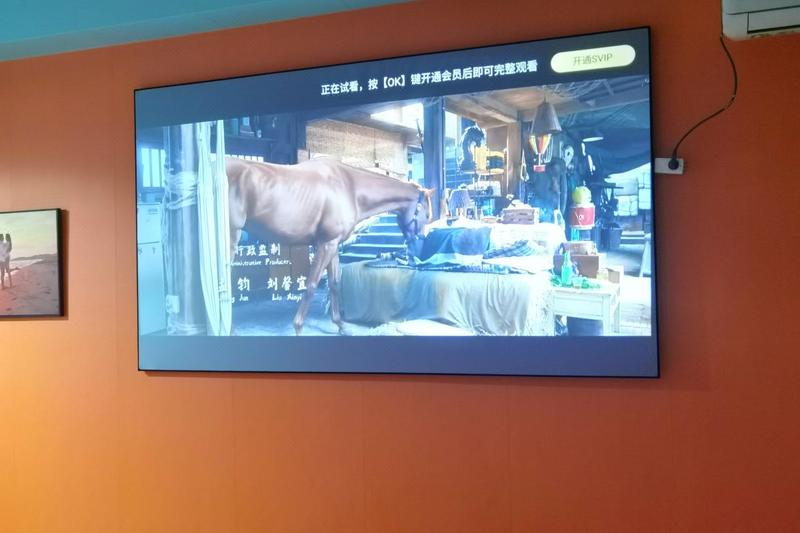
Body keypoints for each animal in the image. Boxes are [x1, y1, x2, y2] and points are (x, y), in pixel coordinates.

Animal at [225, 157, 433, 335]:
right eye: (427, 215)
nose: (418, 247)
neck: (350, 188)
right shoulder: (325, 245)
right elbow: (311, 285)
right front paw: (298, 327)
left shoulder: (333, 245)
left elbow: (334, 283)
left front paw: (340, 324)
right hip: (231, 238)